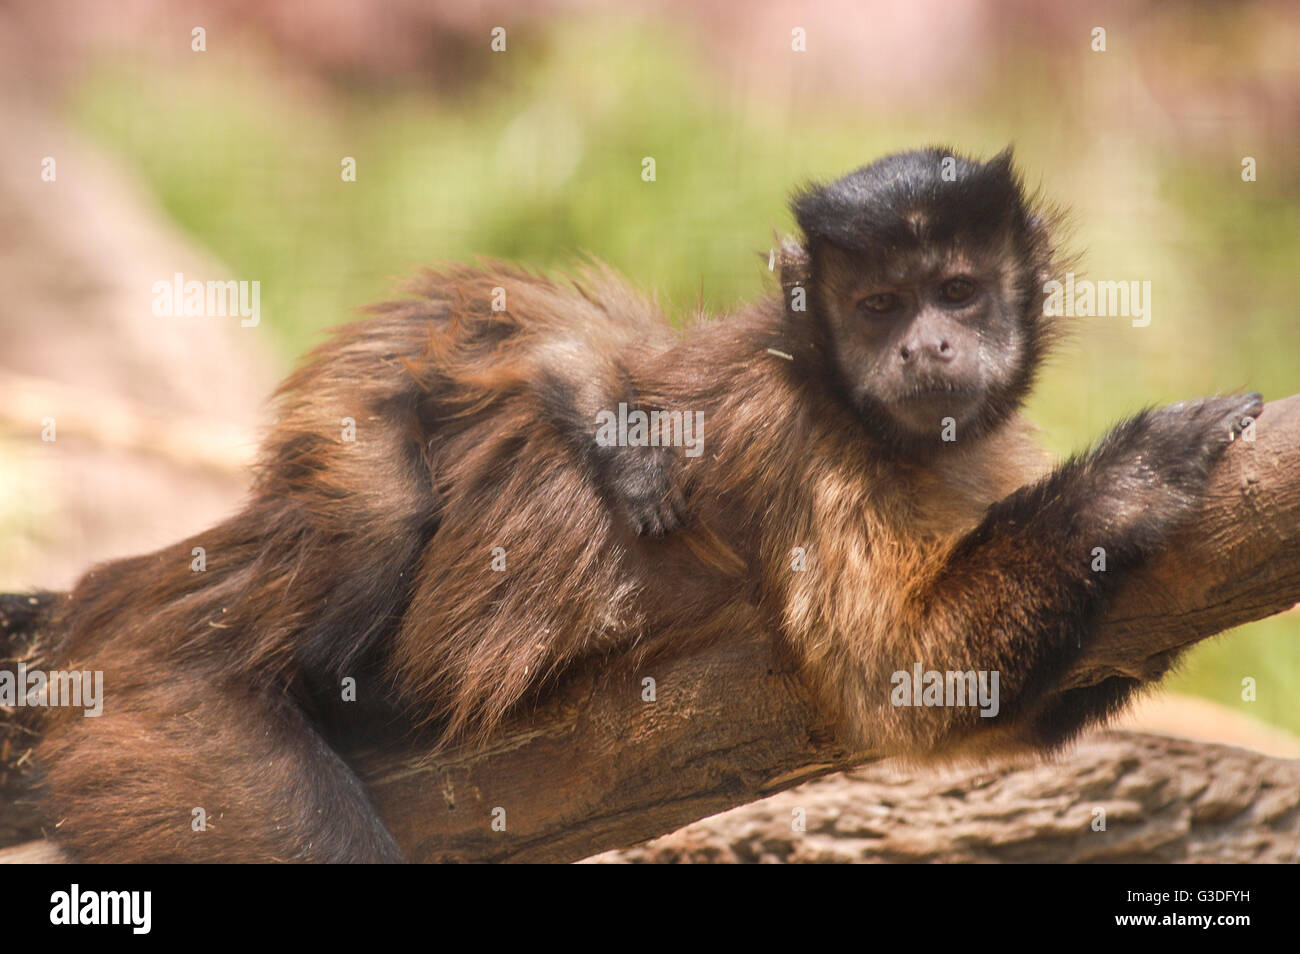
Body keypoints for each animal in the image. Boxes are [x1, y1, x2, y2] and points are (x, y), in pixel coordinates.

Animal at [7, 143, 1248, 868]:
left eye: (957, 292)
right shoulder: (802, 439)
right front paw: (1129, 478)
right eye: (880, 306)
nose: (929, 346)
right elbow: (902, 683)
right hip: (169, 707)